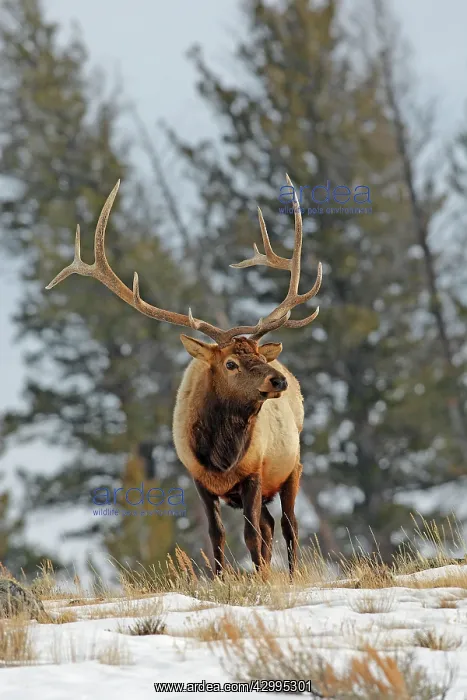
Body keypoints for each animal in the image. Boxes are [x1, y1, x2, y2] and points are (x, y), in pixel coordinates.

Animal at [45, 175, 322, 577]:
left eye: (257, 354)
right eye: (230, 364)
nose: (278, 381)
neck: (221, 456)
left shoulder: (255, 472)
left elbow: (251, 535)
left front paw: (258, 580)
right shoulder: (198, 479)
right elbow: (216, 535)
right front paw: (222, 579)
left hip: (292, 466)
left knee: (289, 525)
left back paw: (289, 573)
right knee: (272, 525)